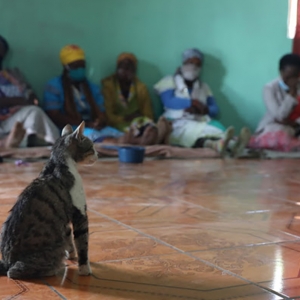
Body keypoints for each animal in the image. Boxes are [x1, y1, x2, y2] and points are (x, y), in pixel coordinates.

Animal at [0, 121, 96, 278]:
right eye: (92, 147)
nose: (98, 154)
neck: (57, 163)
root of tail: (7, 262)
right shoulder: (80, 213)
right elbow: (83, 244)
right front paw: (84, 269)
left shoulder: (64, 221)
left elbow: (69, 238)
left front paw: (71, 256)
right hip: (48, 252)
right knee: (13, 272)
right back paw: (54, 269)